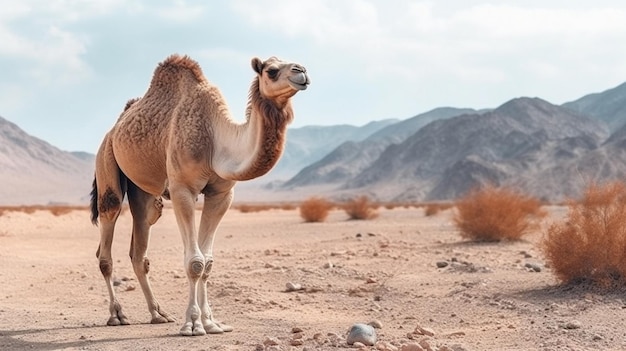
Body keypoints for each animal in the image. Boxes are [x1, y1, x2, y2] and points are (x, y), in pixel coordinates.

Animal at [89, 53, 308, 336]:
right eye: (271, 70)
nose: (301, 71)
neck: (216, 138)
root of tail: (112, 131)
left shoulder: (222, 194)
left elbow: (208, 263)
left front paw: (212, 322)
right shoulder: (183, 189)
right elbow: (195, 262)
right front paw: (192, 324)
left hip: (144, 192)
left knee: (141, 243)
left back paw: (158, 313)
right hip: (106, 161)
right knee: (108, 228)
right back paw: (117, 315)